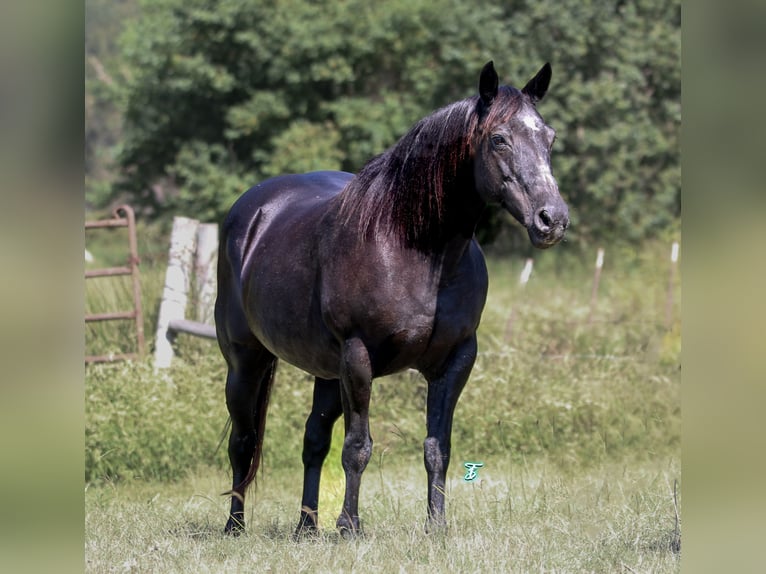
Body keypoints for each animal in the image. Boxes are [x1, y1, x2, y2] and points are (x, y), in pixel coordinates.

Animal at [216, 60, 568, 536]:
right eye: (499, 139)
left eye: (549, 137)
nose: (552, 219)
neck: (414, 249)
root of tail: (253, 211)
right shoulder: (358, 356)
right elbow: (357, 447)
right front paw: (350, 526)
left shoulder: (455, 361)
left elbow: (437, 447)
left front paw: (436, 527)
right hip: (246, 360)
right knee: (243, 441)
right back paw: (235, 527)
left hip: (327, 372)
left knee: (313, 441)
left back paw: (307, 527)